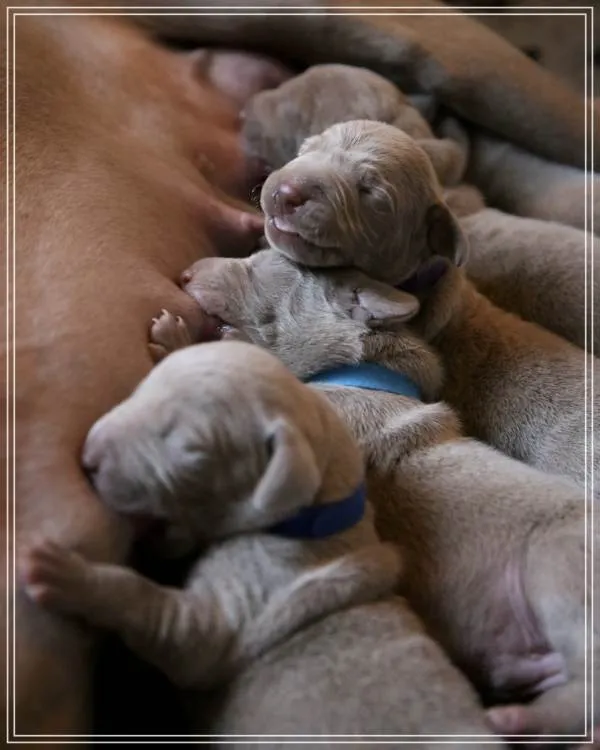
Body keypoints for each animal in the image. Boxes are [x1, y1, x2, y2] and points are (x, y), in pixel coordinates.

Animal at [23, 340, 499, 743]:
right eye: (142, 387)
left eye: (192, 452)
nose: (88, 456)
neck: (310, 518)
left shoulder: (229, 615)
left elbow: (162, 618)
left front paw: (61, 573)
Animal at [174, 249, 594, 740]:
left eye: (259, 265)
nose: (185, 272)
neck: (359, 369)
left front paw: (180, 341)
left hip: (558, 564)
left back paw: (518, 717)